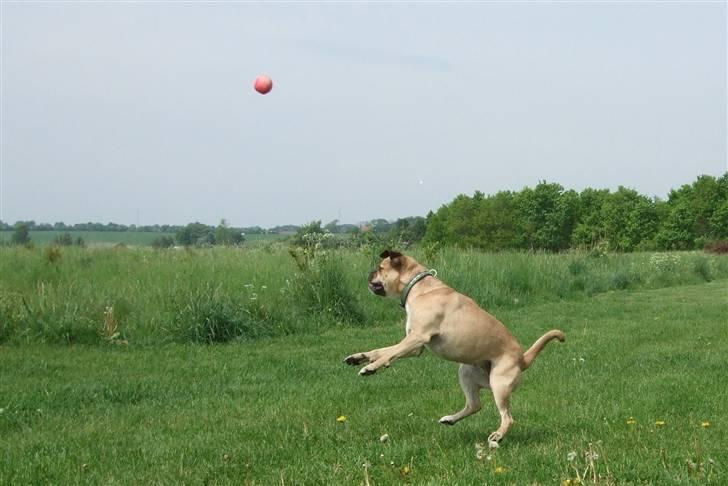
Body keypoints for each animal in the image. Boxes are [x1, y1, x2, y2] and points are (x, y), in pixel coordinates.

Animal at [344, 251, 564, 444]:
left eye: (381, 268)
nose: (370, 272)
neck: (419, 288)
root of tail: (522, 359)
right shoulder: (414, 346)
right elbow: (382, 350)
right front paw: (359, 357)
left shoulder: (417, 338)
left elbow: (389, 353)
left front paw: (371, 367)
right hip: (467, 372)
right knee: (474, 405)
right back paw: (450, 419)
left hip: (499, 383)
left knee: (507, 417)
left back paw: (498, 435)